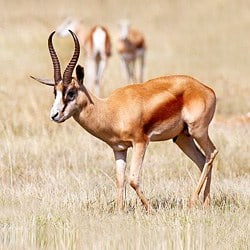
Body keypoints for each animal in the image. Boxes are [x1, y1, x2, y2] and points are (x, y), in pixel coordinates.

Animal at [31, 30, 218, 212]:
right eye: (55, 92)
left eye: (71, 92)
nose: (55, 115)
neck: (111, 110)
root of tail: (207, 89)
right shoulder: (119, 149)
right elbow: (120, 180)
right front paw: (120, 211)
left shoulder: (141, 142)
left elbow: (133, 179)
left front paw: (151, 210)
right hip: (182, 138)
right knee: (202, 161)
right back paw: (206, 203)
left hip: (197, 131)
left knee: (212, 153)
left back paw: (193, 202)